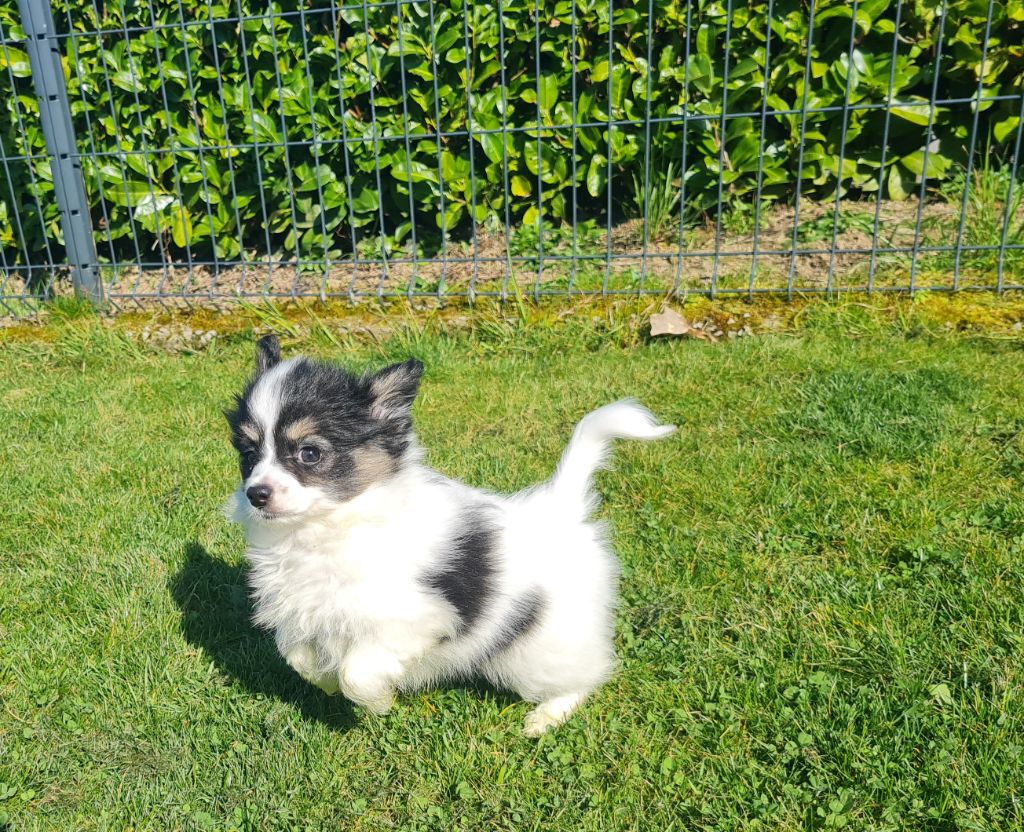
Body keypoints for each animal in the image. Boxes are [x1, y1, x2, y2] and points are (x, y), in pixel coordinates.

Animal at [226, 334, 671, 733]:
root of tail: (560, 506)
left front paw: (377, 702)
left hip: (541, 646)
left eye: (309, 453)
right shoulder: (305, 612)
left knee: (585, 675)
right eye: (248, 456)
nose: (256, 494)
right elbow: (298, 657)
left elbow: (358, 673)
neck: (326, 526)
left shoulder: (414, 616)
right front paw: (328, 681)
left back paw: (548, 715)